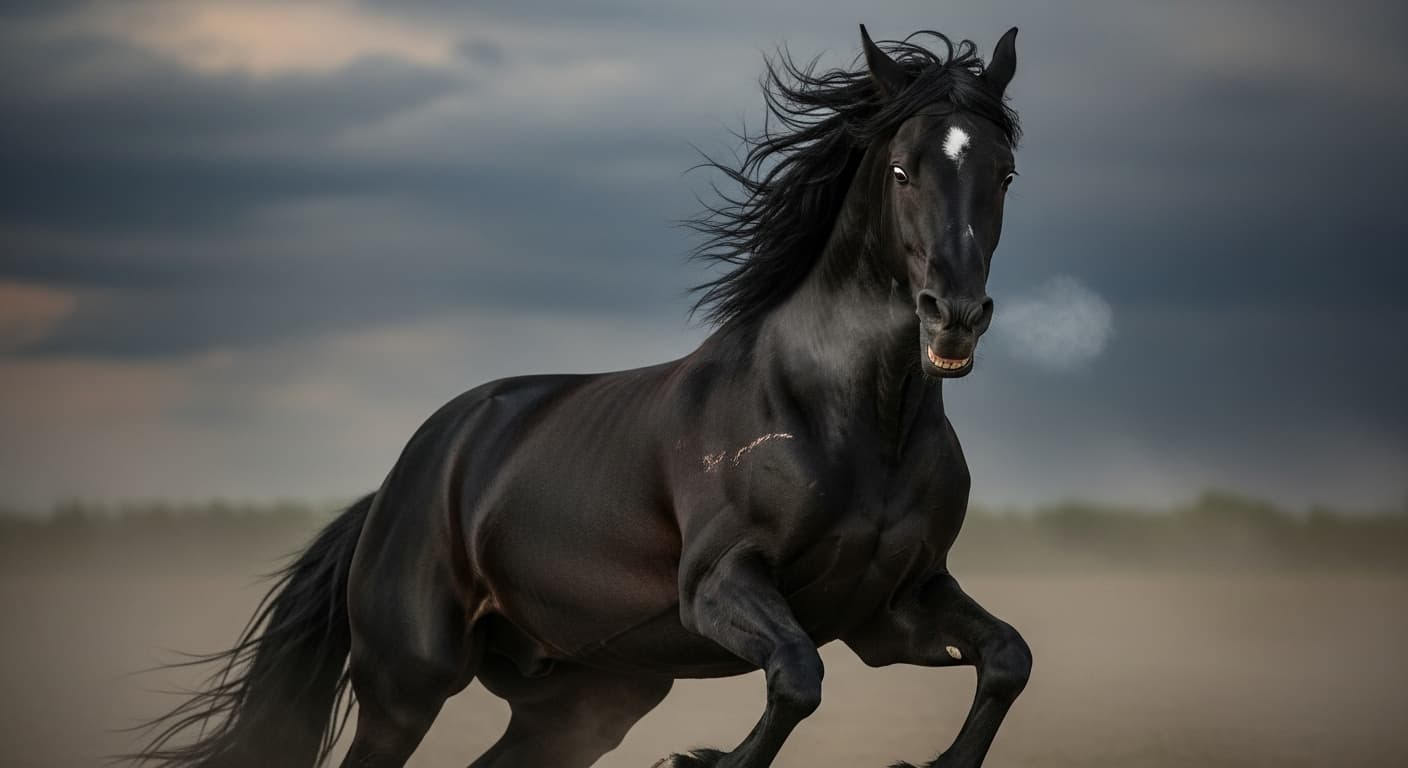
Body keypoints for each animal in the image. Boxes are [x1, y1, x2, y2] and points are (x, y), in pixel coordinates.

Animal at [131, 24, 1030, 768]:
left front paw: (935, 764)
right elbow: (798, 676)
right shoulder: (722, 586)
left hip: (585, 699)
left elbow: (1007, 657)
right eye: (903, 170)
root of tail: (392, 490)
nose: (953, 316)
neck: (855, 423)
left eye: (1005, 172)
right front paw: (700, 761)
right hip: (405, 685)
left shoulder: (893, 608)